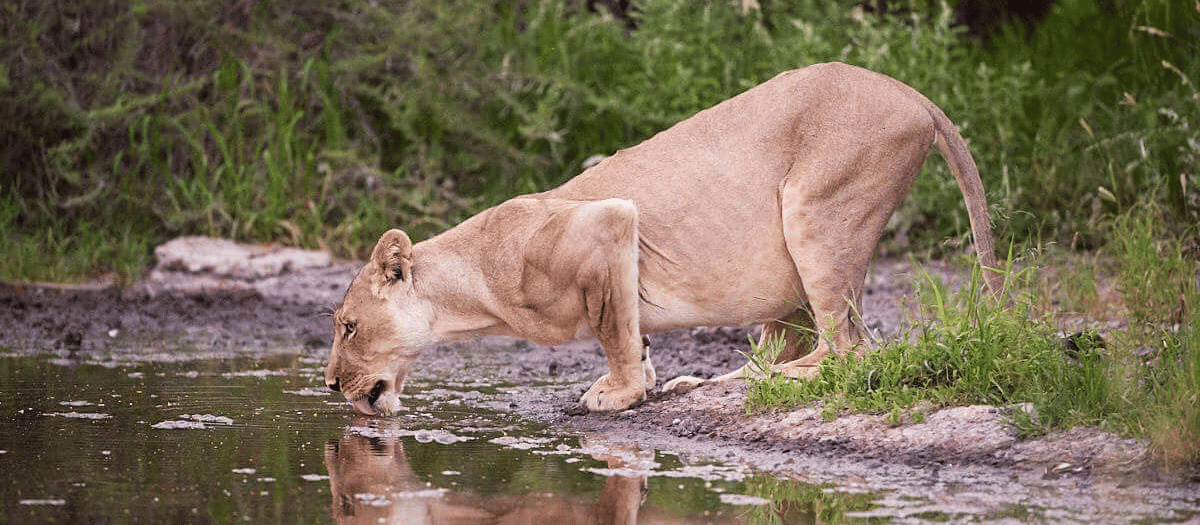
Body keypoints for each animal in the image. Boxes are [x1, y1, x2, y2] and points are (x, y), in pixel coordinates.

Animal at [324, 62, 1002, 416]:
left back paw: (756, 382)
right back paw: (705, 381)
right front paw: (648, 379)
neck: (472, 296)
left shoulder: (607, 223)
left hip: (814, 210)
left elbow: (613, 331)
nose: (329, 385)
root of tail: (910, 92)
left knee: (849, 351)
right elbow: (629, 328)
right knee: (792, 342)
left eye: (349, 327)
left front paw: (617, 393)